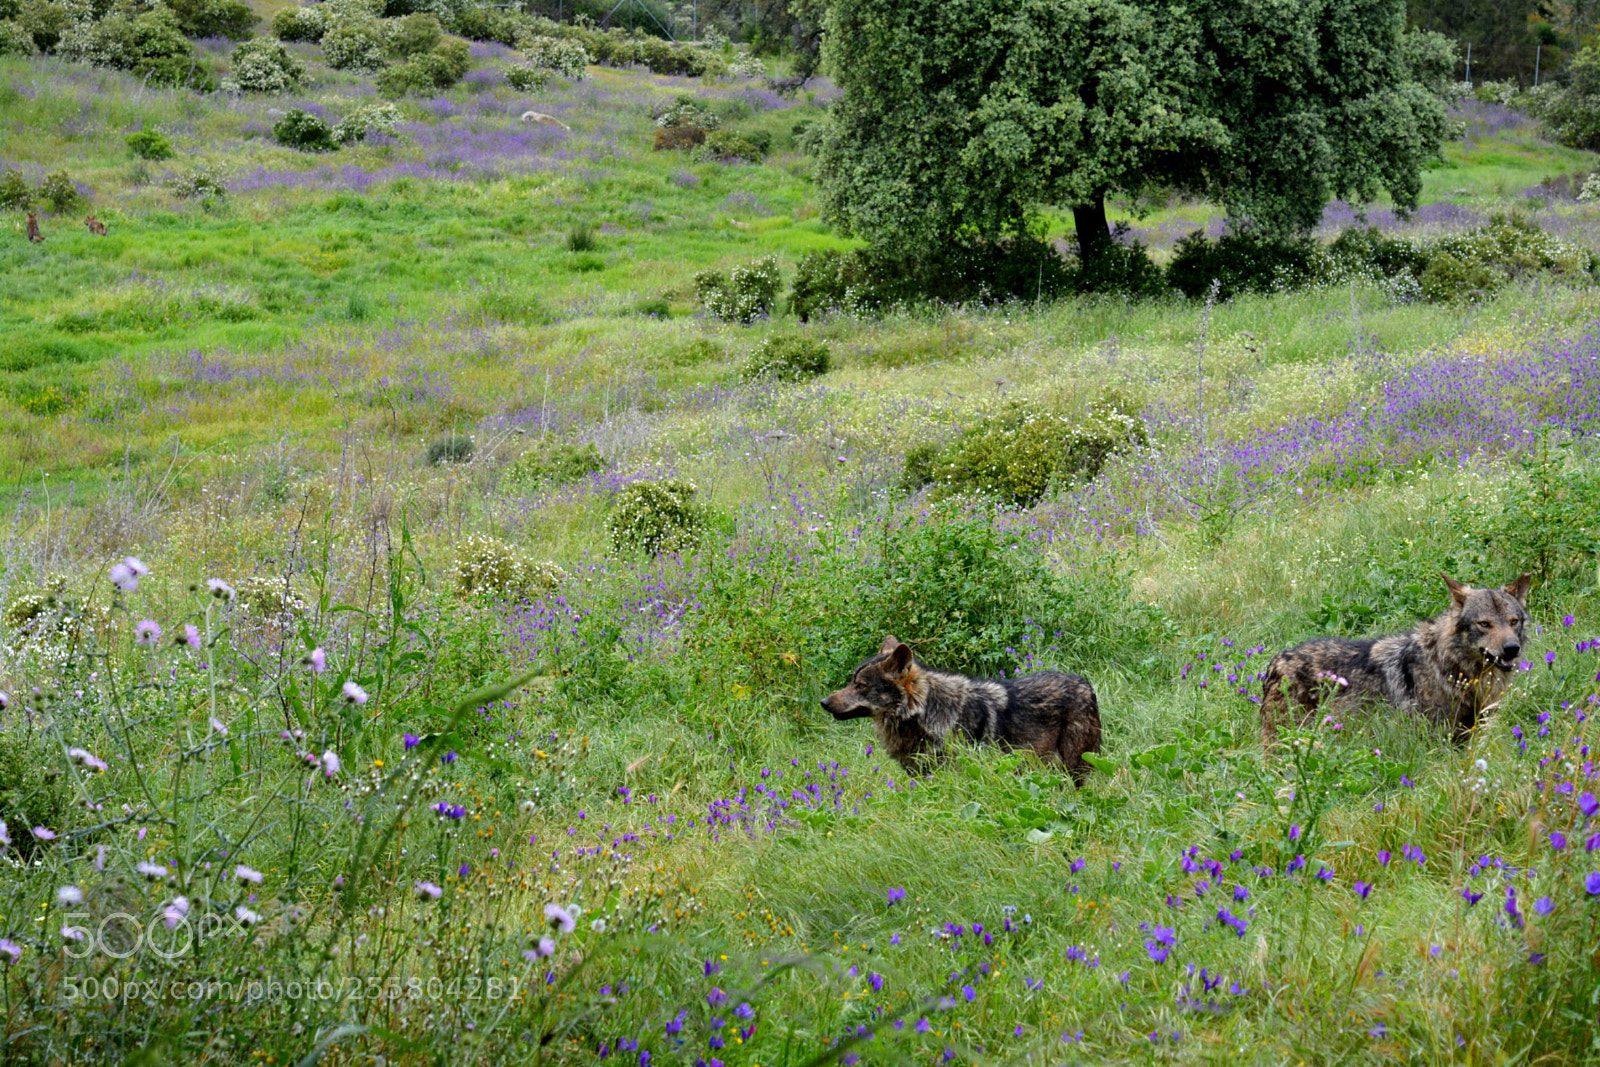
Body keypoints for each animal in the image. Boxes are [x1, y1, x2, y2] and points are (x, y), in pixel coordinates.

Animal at [821, 636, 1102, 782]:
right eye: (851, 681)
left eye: (860, 685)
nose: (823, 702)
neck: (926, 714)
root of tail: (1086, 684)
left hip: (1075, 766)